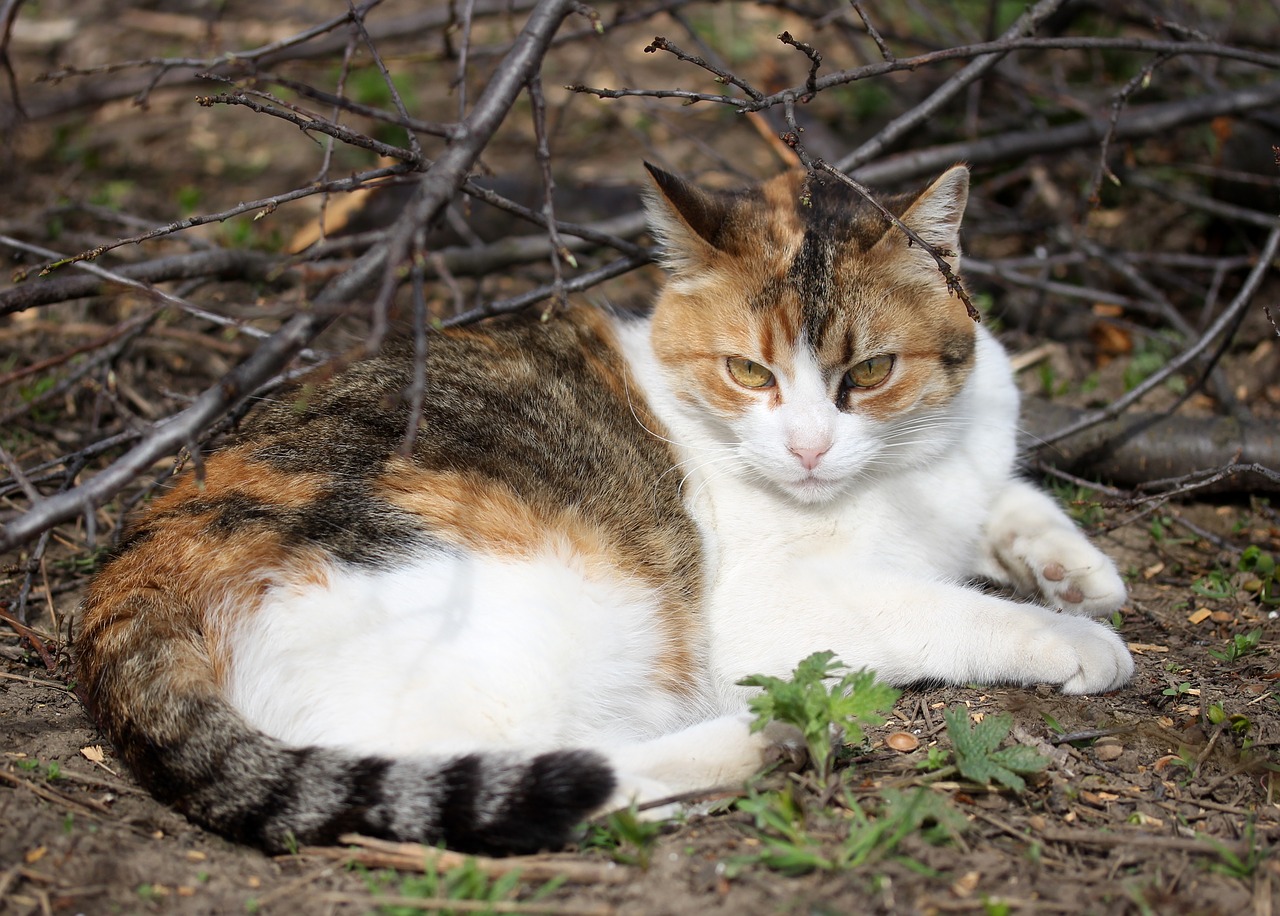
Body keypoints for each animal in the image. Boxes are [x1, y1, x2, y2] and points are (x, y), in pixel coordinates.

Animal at [74, 163, 1131, 859]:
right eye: (749, 373)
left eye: (869, 373)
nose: (808, 449)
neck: (900, 473)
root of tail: (129, 578)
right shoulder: (780, 613)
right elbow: (943, 607)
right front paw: (1070, 638)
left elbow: (1012, 499)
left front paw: (1075, 570)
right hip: (558, 608)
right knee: (535, 773)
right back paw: (755, 745)